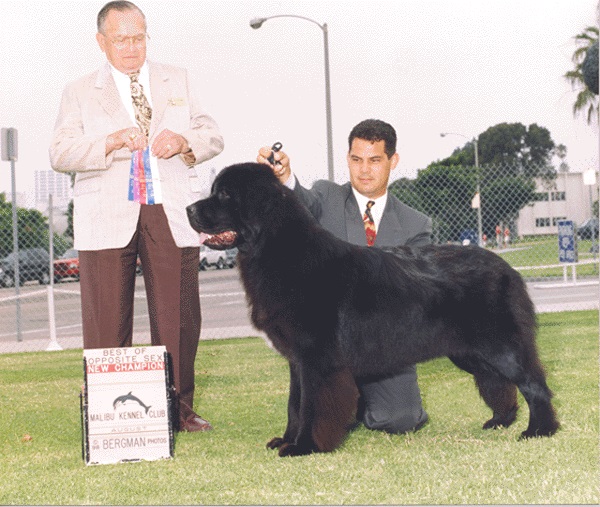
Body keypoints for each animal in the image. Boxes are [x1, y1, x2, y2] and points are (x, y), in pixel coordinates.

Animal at [186, 165, 556, 458]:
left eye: (224, 195)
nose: (189, 209)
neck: (278, 248)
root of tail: (507, 268)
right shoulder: (297, 360)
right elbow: (294, 404)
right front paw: (286, 440)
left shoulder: (317, 358)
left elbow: (311, 405)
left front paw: (304, 446)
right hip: (471, 352)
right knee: (499, 382)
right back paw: (501, 421)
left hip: (500, 345)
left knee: (533, 382)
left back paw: (540, 430)